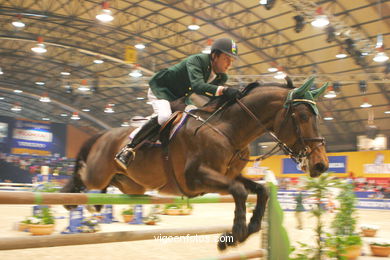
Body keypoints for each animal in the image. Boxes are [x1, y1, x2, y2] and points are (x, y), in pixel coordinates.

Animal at [61, 76, 330, 250]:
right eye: (302, 116)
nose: (321, 165)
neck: (228, 130)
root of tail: (103, 133)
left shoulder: (227, 175)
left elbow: (260, 190)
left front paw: (248, 229)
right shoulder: (195, 178)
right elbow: (239, 191)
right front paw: (235, 234)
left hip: (132, 184)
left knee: (108, 185)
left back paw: (93, 205)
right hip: (98, 173)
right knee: (82, 177)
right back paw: (70, 198)